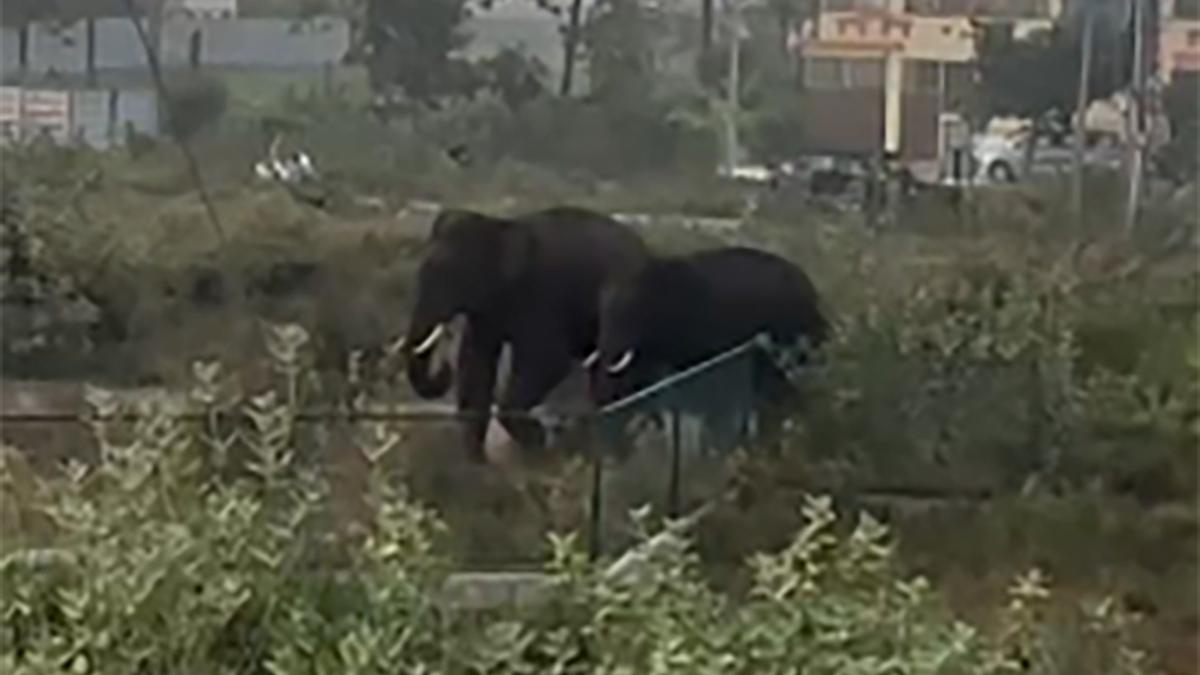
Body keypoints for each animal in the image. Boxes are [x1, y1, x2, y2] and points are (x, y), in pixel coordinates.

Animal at [400, 201, 648, 458]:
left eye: (450, 274)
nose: (443, 368)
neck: (500, 228)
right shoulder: (487, 312)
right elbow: (475, 366)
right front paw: (477, 463)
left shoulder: (539, 297)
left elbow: (549, 361)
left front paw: (538, 442)